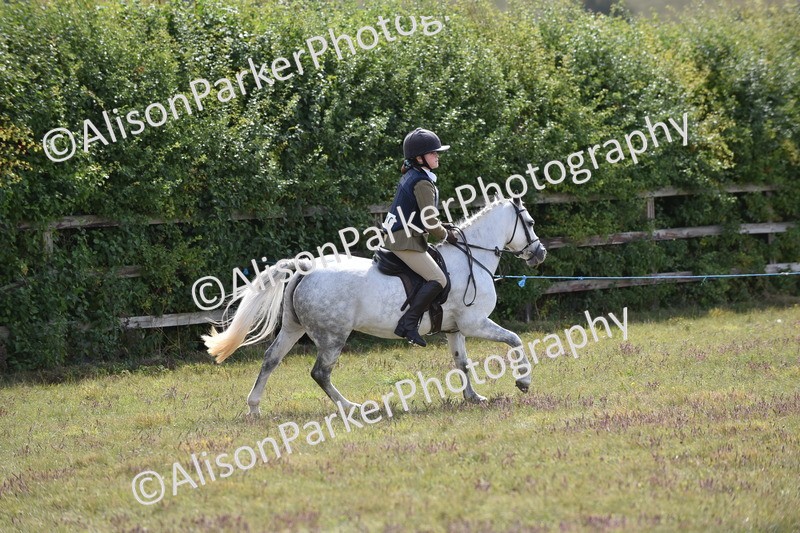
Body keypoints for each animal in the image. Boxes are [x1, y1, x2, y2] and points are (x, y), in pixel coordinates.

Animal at [203, 197, 547, 416]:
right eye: (530, 222)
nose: (540, 253)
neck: (471, 257)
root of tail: (306, 268)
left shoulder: (455, 329)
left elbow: (462, 363)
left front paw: (473, 397)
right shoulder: (475, 323)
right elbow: (515, 340)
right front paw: (523, 382)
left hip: (292, 328)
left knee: (271, 360)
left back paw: (254, 408)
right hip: (333, 336)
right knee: (320, 373)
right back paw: (352, 408)